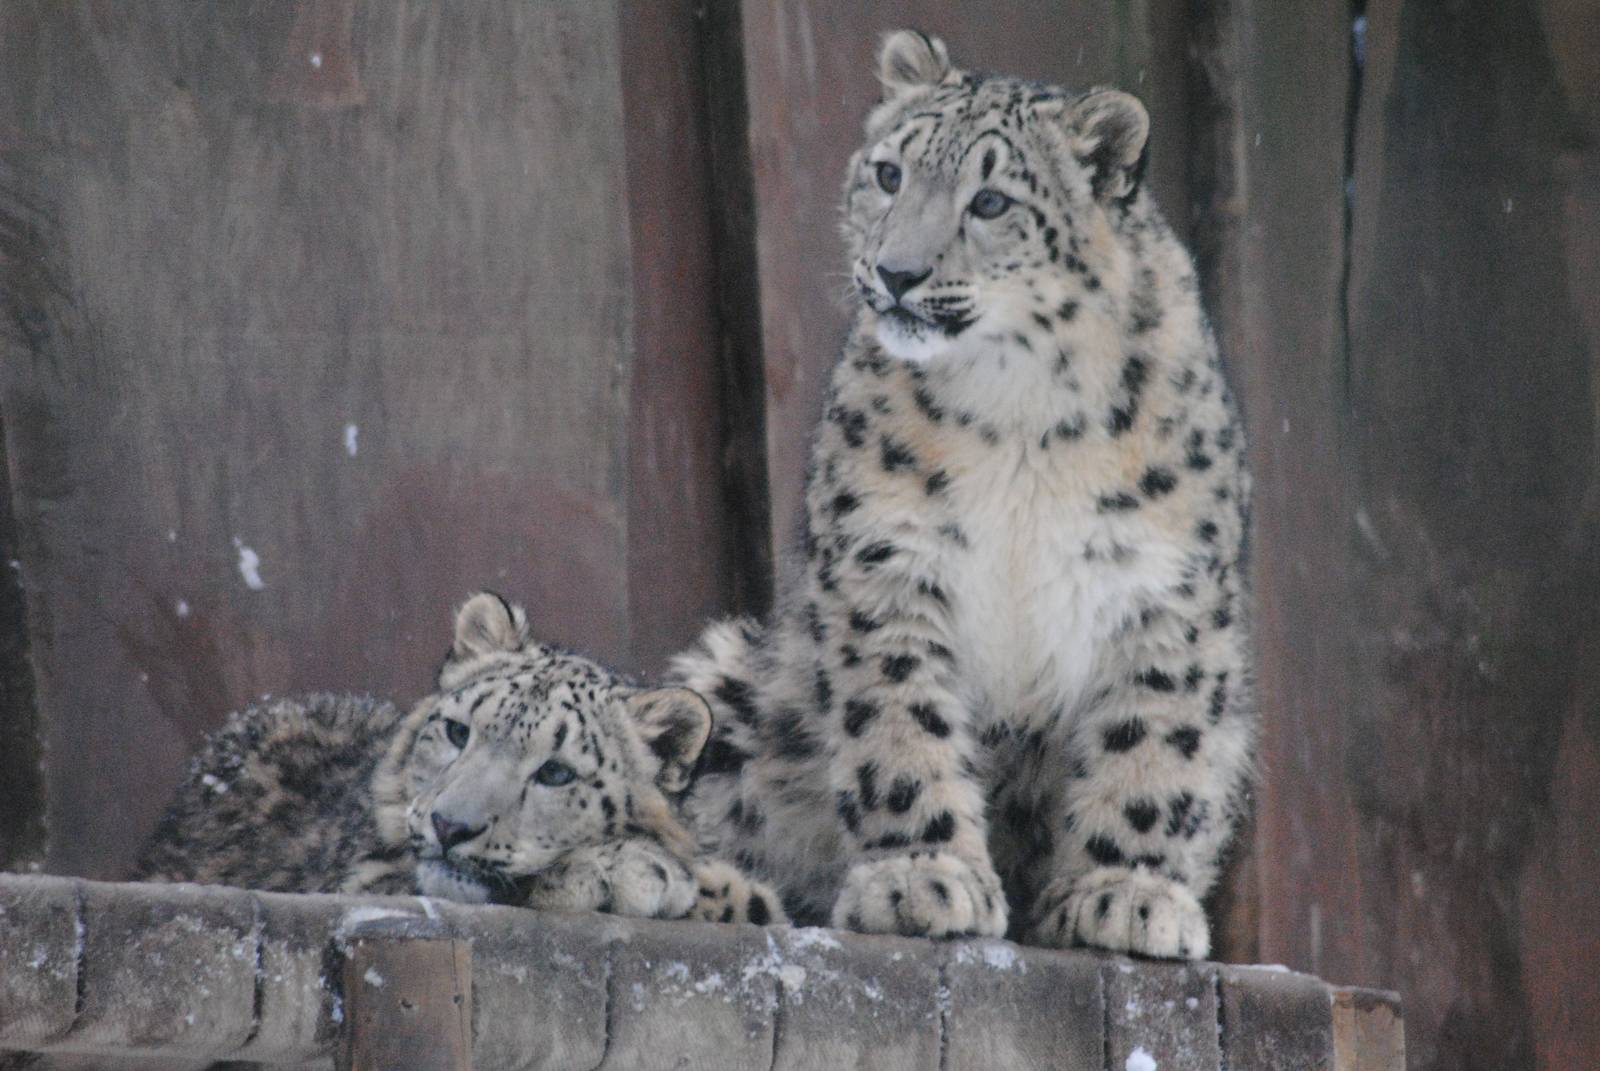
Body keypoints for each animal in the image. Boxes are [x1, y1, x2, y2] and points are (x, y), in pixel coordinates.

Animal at [666, 30, 1256, 960]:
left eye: (990, 200)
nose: (897, 272)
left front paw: (1123, 893)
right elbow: (899, 723)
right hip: (735, 689)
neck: (1020, 412)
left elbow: (1152, 741)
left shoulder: (1163, 585)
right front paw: (923, 875)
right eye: (889, 173)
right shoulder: (887, 558)